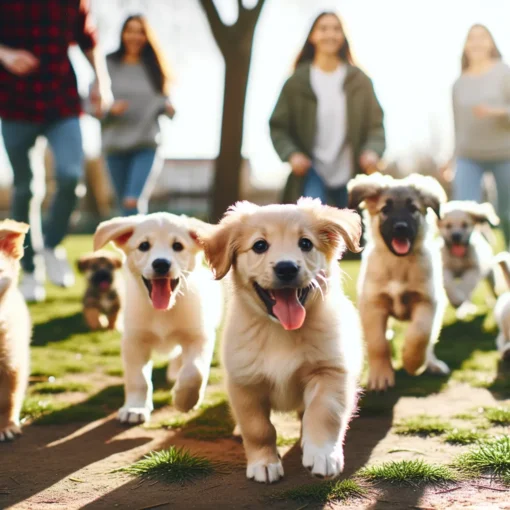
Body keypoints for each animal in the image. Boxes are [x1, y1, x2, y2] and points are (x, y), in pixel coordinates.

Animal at [93, 211, 221, 422]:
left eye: (177, 246)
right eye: (144, 245)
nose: (161, 263)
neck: (162, 312)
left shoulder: (199, 336)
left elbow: (194, 372)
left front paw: (185, 400)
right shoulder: (134, 341)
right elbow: (138, 379)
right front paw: (135, 408)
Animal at [198, 198, 362, 482]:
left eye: (305, 243)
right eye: (259, 245)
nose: (287, 268)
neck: (280, 331)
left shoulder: (330, 371)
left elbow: (324, 412)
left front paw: (322, 454)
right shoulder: (245, 383)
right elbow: (258, 428)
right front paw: (264, 463)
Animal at [348, 171, 448, 390]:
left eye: (413, 209)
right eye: (385, 209)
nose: (401, 228)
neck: (398, 265)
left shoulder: (427, 302)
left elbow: (420, 335)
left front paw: (412, 362)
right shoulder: (373, 305)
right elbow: (377, 343)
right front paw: (380, 376)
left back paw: (432, 363)